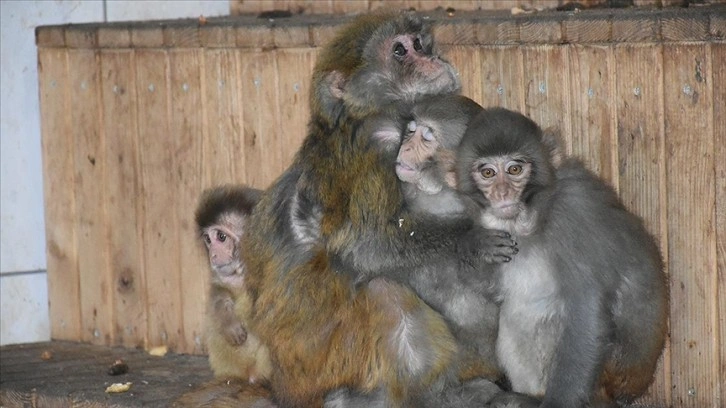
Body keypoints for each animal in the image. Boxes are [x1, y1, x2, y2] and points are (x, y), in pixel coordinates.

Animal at [243, 8, 524, 408]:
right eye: (400, 51)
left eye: (418, 43)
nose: (430, 58)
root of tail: (284, 386)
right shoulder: (380, 140)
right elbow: (364, 244)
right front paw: (469, 239)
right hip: (326, 367)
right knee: (387, 292)